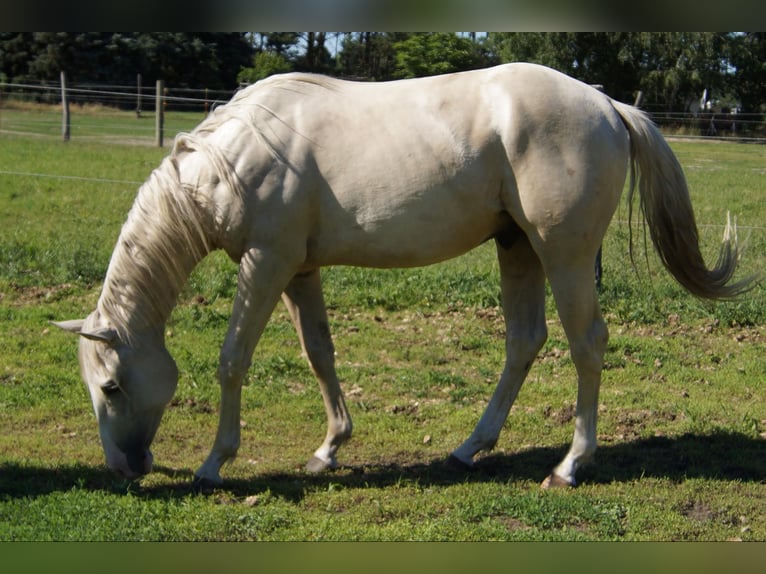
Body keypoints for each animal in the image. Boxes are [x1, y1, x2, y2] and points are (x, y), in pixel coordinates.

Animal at [52, 63, 752, 488]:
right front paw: (328, 448)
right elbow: (319, 354)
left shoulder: (266, 262)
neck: (232, 159)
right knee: (524, 341)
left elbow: (232, 359)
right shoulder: (299, 270)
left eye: (111, 386)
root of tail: (608, 105)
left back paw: (570, 465)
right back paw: (470, 447)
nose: (124, 467)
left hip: (564, 255)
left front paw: (213, 463)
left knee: (587, 345)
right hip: (518, 248)